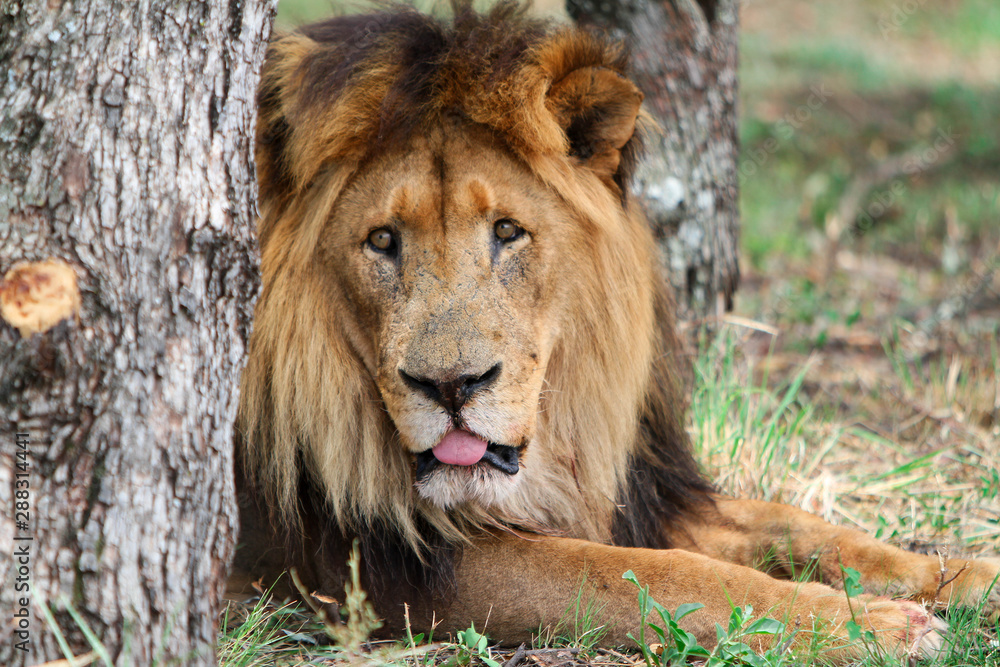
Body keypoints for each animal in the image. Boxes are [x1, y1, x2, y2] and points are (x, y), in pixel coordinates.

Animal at [232, 3, 999, 662]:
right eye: (383, 240)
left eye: (507, 232)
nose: (451, 386)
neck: (556, 443)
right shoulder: (396, 569)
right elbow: (658, 576)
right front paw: (875, 627)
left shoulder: (648, 493)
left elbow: (806, 527)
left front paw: (968, 574)